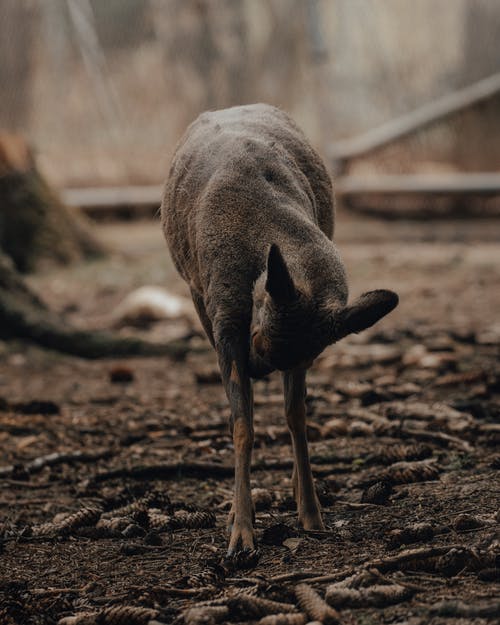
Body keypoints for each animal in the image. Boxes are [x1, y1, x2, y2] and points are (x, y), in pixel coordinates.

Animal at [160, 103, 398, 556]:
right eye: (258, 332)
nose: (257, 369)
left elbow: (297, 415)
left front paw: (312, 513)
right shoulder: (224, 318)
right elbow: (242, 424)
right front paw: (240, 530)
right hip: (196, 294)